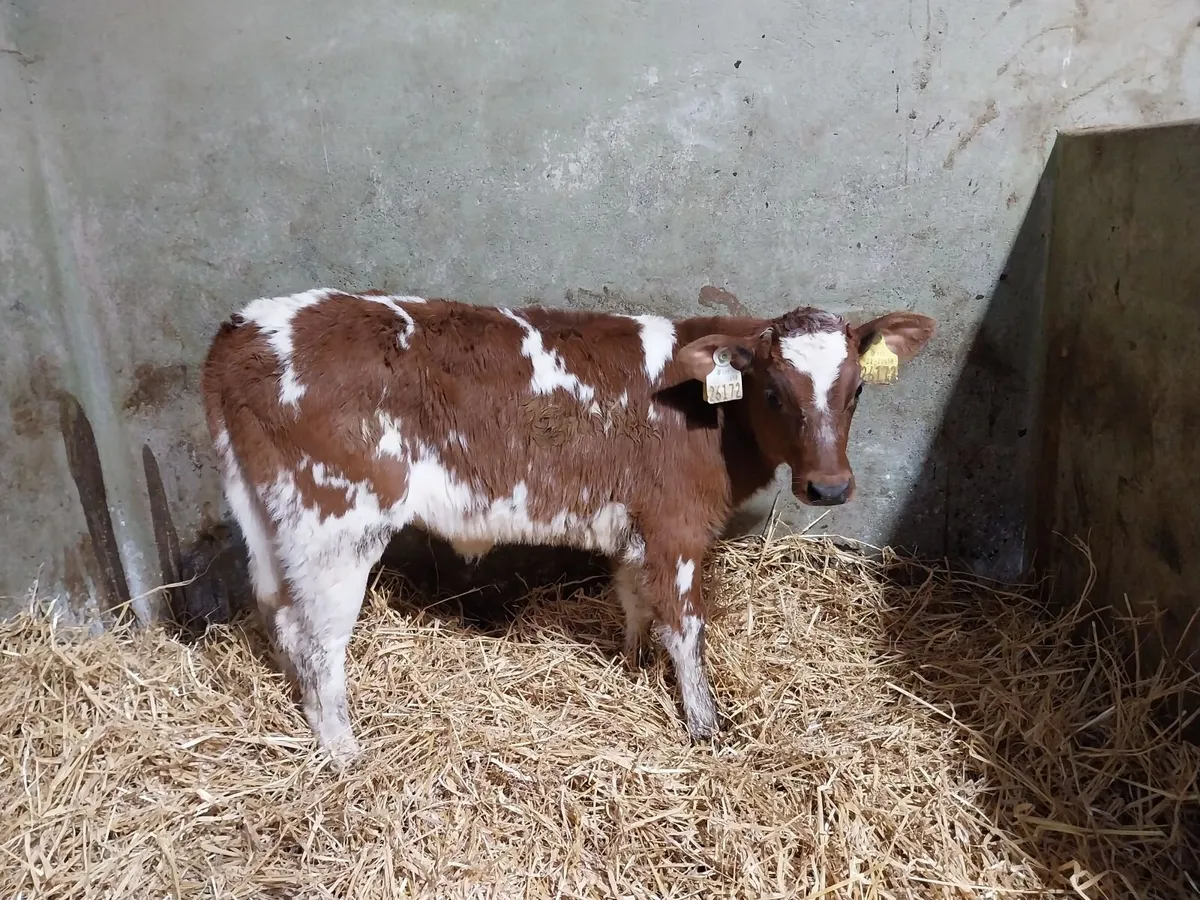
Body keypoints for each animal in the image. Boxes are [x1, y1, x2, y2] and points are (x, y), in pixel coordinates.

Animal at [200, 288, 934, 767]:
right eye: (774, 392)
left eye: (857, 391)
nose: (829, 487)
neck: (705, 411)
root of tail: (244, 324)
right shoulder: (676, 524)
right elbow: (686, 626)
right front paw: (706, 728)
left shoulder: (635, 524)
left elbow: (635, 600)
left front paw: (634, 669)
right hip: (336, 519)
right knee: (317, 639)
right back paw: (345, 752)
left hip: (270, 519)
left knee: (277, 612)